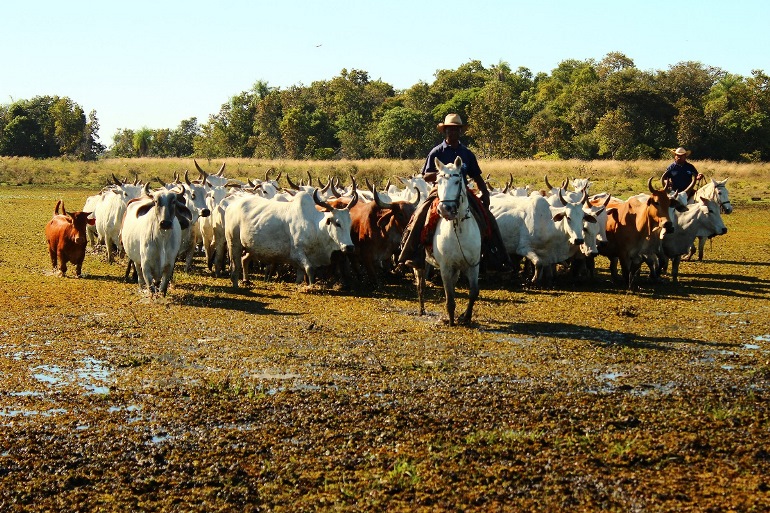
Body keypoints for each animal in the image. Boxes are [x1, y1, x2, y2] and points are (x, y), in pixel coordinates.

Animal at [225, 188, 356, 286]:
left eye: (349, 222)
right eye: (337, 223)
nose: (349, 247)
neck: (315, 227)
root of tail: (232, 206)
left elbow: (300, 275)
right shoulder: (297, 252)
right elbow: (310, 269)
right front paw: (311, 287)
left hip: (251, 247)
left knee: (244, 260)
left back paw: (246, 280)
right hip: (234, 243)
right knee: (235, 265)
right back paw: (236, 283)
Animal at [414, 155, 480, 328]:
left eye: (457, 181)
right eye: (438, 181)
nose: (445, 209)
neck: (459, 230)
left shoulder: (473, 265)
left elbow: (474, 292)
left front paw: (466, 317)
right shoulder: (445, 267)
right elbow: (449, 298)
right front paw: (451, 320)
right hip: (420, 265)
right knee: (420, 286)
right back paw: (421, 310)